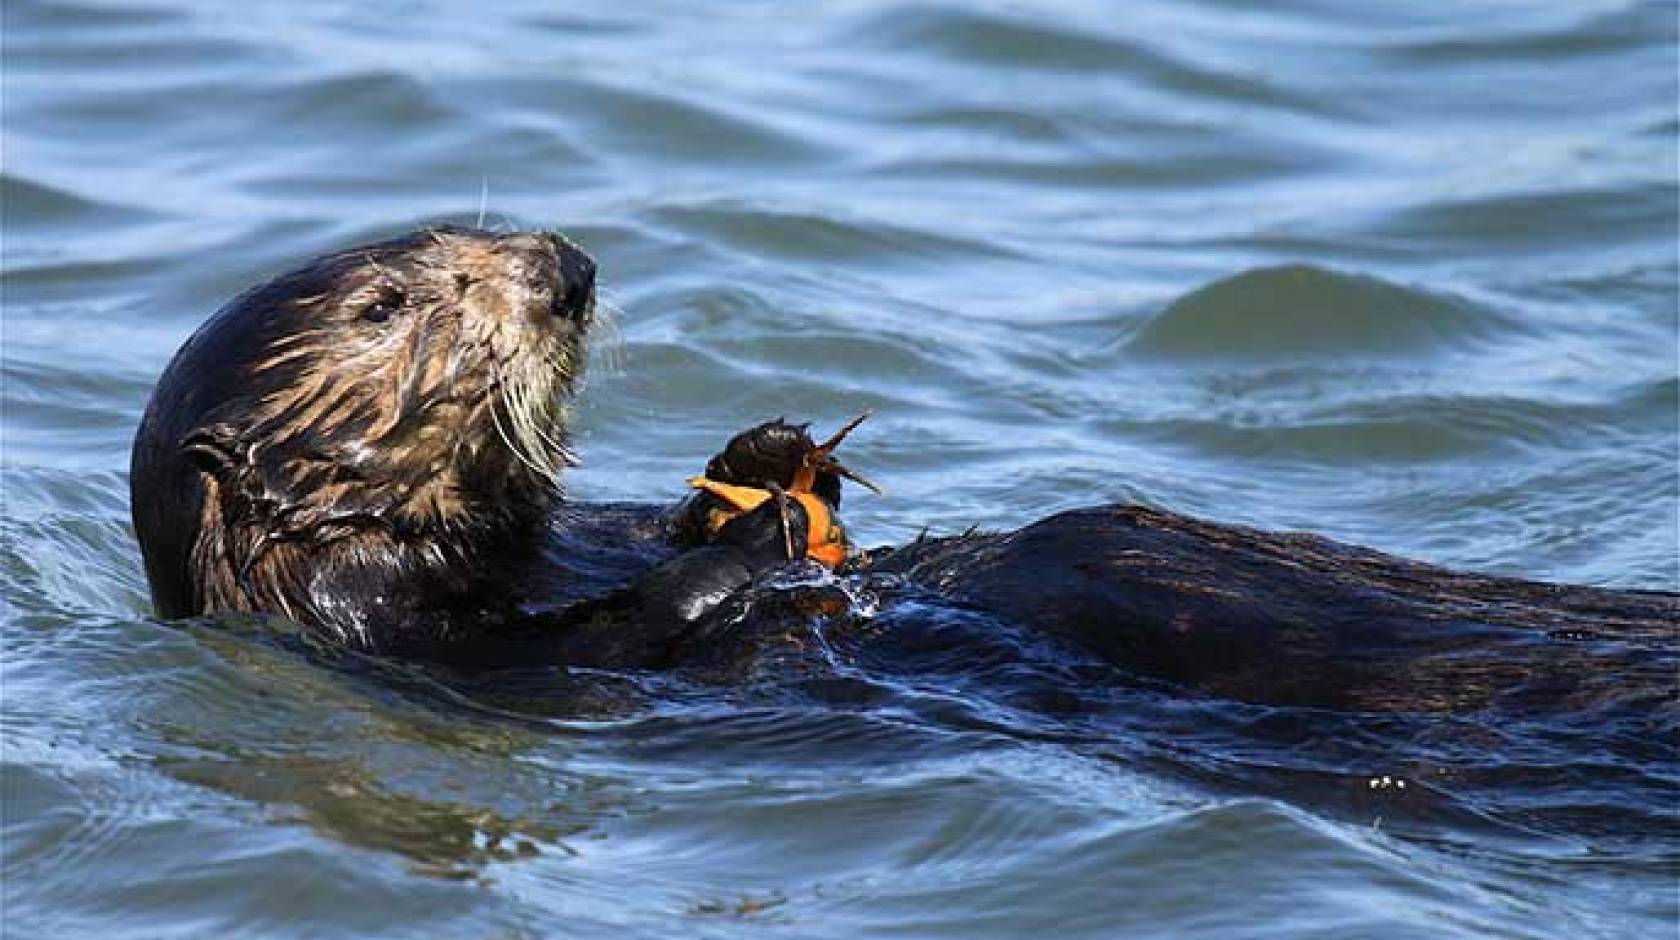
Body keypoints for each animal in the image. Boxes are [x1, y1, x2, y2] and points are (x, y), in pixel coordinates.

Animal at [131, 227, 1677, 711]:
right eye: (391, 304)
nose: (566, 267)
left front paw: (763, 461)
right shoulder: (418, 645)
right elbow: (620, 631)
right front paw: (751, 543)